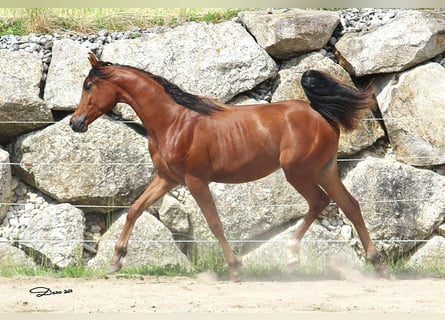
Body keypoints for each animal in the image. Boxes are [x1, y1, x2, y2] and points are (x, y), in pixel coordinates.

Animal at [71, 53, 386, 282]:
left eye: (88, 86)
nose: (76, 123)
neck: (173, 122)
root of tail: (321, 113)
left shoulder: (195, 181)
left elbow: (214, 223)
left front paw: (235, 268)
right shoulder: (167, 178)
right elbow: (135, 209)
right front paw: (115, 261)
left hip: (299, 172)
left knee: (320, 201)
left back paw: (291, 255)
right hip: (325, 170)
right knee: (350, 206)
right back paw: (376, 264)